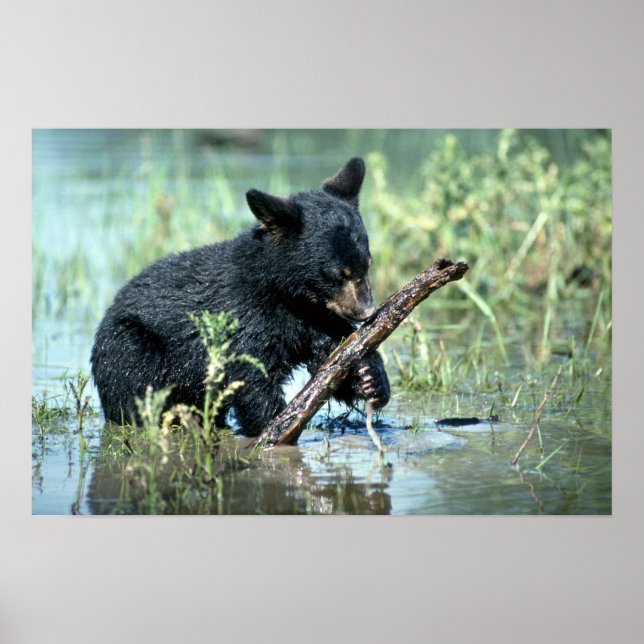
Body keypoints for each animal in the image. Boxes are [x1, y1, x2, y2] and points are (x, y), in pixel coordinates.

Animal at [90, 157, 390, 436]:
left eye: (367, 265)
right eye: (338, 273)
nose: (367, 311)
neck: (284, 294)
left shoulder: (313, 317)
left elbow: (331, 354)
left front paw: (370, 377)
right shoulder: (246, 315)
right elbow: (251, 373)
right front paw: (276, 425)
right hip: (128, 346)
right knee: (137, 381)